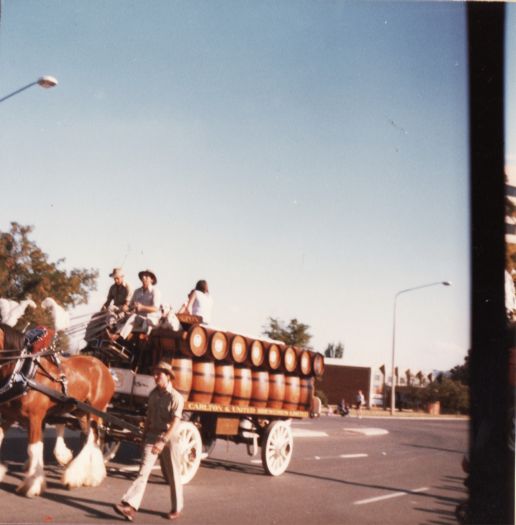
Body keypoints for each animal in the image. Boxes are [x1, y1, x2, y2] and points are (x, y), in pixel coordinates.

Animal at [0, 322, 114, 498]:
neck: (22, 373)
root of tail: (104, 368)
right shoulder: (8, 416)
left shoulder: (35, 418)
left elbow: (34, 448)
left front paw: (33, 485)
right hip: (81, 412)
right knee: (92, 436)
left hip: (95, 409)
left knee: (92, 437)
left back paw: (77, 476)